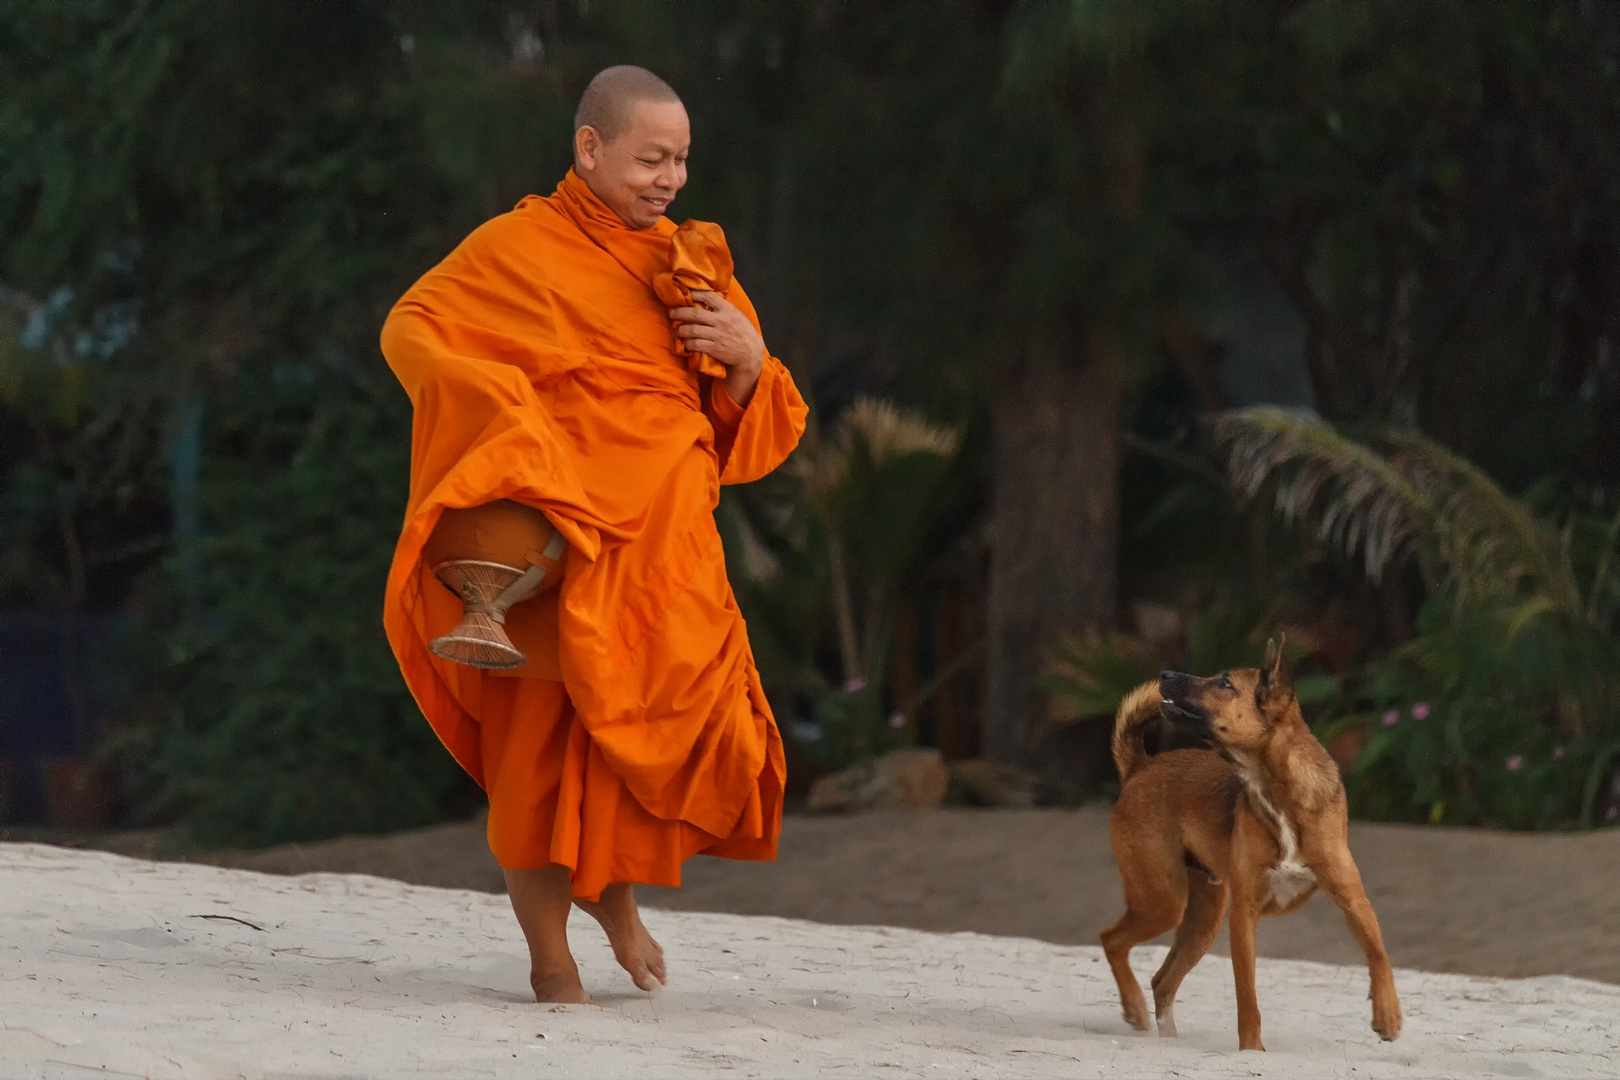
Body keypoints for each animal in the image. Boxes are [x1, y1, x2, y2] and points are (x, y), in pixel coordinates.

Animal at [1108, 637, 1399, 1049]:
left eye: (1224, 683)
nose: (1165, 674)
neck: (1277, 792)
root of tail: (1141, 767)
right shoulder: (1243, 916)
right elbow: (1247, 995)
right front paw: (1251, 1051)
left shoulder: (1353, 900)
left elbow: (1378, 954)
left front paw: (1388, 1015)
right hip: (1165, 902)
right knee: (1113, 942)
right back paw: (1134, 1008)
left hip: (1200, 916)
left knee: (1161, 980)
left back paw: (1167, 1038)